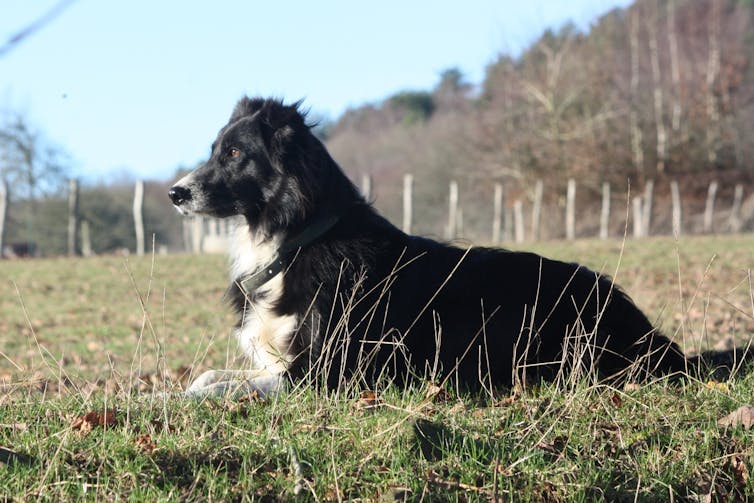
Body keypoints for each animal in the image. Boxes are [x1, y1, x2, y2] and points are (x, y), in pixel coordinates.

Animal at [169, 96, 692, 400]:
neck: (298, 237)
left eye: (235, 154)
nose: (175, 192)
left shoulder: (330, 371)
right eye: (215, 150)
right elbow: (211, 377)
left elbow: (227, 390)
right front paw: (177, 389)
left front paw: (168, 400)